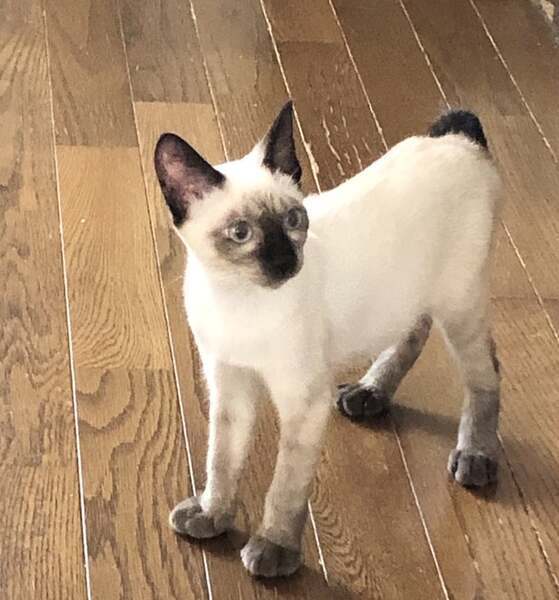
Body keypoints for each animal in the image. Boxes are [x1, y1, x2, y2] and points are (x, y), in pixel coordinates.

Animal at [154, 102, 502, 578]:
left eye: (293, 221)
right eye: (241, 233)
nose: (286, 262)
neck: (238, 302)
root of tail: (455, 138)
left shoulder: (303, 402)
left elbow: (284, 486)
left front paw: (273, 550)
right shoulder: (230, 383)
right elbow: (221, 460)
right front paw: (212, 516)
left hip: (458, 305)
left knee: (487, 371)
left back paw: (475, 456)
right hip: (405, 296)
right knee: (415, 332)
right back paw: (370, 392)